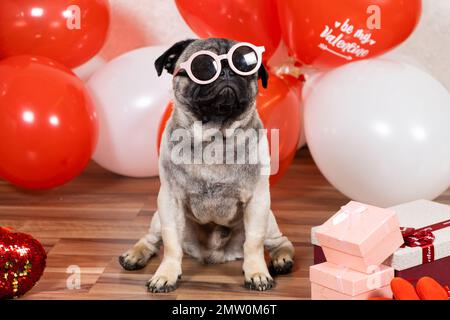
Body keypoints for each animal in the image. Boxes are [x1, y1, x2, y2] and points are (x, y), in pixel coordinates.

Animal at [119, 37, 296, 292]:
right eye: (202, 66)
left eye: (244, 64)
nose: (227, 71)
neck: (214, 138)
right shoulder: (169, 200)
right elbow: (171, 245)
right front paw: (166, 274)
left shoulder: (258, 200)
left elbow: (254, 243)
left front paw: (256, 273)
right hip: (158, 218)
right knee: (151, 240)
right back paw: (135, 255)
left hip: (269, 219)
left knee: (280, 241)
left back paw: (282, 259)